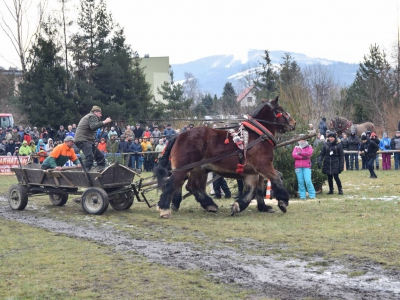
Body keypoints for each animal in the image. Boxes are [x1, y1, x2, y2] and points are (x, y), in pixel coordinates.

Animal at [155, 98, 296, 218]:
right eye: (281, 110)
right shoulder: (264, 166)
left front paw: (249, 206)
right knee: (172, 184)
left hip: (198, 169)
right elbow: (277, 179)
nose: (294, 123)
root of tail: (178, 136)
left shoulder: (253, 172)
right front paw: (283, 202)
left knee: (192, 186)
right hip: (183, 168)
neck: (257, 135)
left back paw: (209, 205)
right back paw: (165, 209)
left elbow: (256, 190)